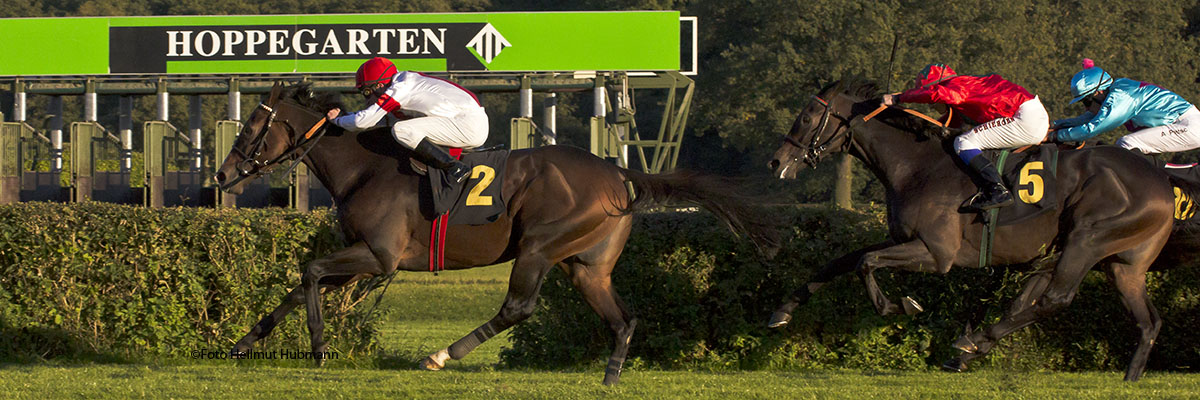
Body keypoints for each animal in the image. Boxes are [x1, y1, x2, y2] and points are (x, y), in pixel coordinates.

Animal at [213, 81, 777, 384]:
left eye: (251, 129)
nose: (221, 175)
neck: (365, 167)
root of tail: (620, 173)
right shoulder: (360, 256)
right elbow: (299, 284)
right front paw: (242, 343)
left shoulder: (379, 255)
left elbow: (309, 271)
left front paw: (318, 347)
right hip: (587, 266)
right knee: (623, 318)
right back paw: (611, 374)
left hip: (539, 247)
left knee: (518, 308)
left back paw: (442, 355)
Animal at [763, 78, 1176, 379]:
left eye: (806, 117)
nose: (776, 162)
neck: (917, 165)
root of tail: (1161, 183)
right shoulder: (904, 239)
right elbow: (842, 261)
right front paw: (781, 312)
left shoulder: (937, 253)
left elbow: (866, 263)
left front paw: (900, 305)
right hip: (1120, 264)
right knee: (1146, 321)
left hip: (1087, 240)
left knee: (1054, 300)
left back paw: (972, 341)